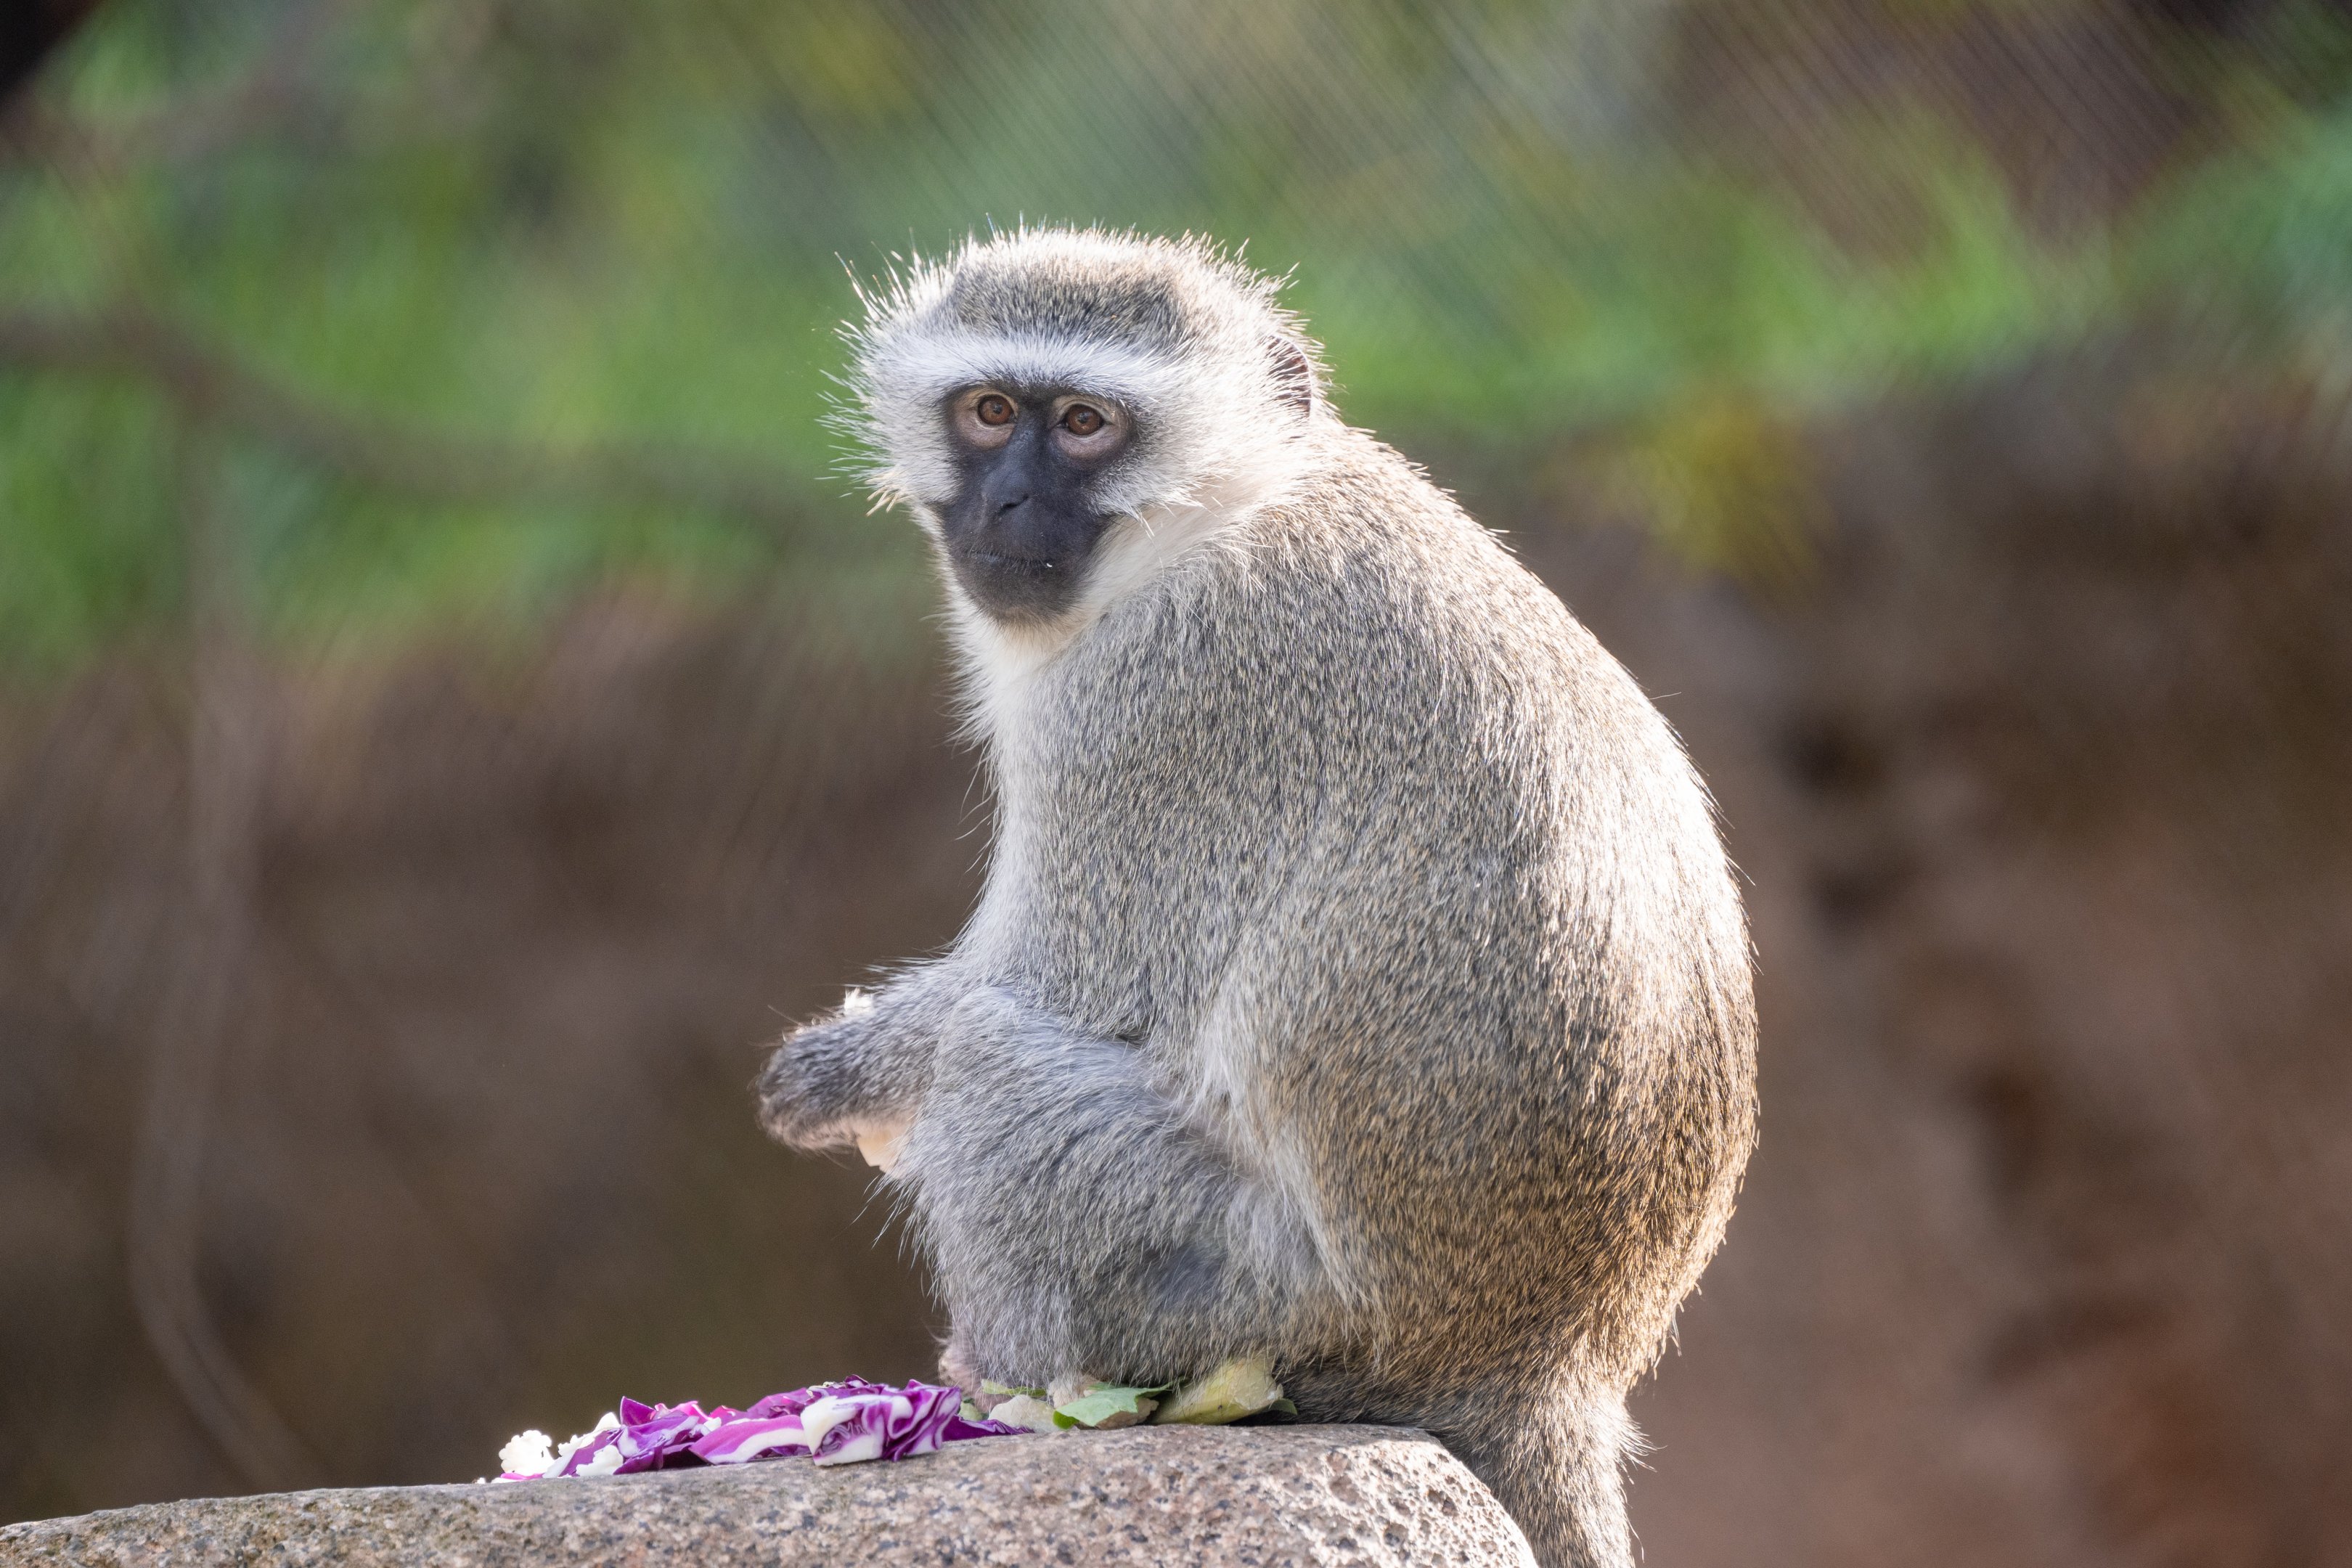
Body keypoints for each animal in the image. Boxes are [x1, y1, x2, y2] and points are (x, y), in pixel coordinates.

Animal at [757, 227, 1756, 1568]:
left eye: (1085, 425)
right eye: (988, 412)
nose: (1004, 504)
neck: (1220, 510)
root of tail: (1545, 1366)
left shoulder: (1148, 701)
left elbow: (1050, 985)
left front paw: (844, 1073)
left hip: (1251, 1293)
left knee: (995, 1074)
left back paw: (1013, 1385)